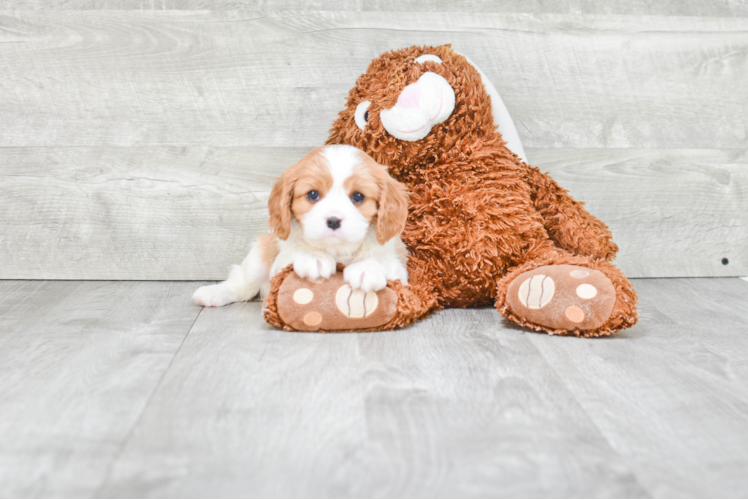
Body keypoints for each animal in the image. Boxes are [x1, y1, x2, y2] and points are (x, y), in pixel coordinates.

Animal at [193, 145, 410, 306]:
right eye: (312, 194)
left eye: (358, 196)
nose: (333, 220)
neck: (336, 250)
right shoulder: (280, 261)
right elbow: (297, 249)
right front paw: (313, 257)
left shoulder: (399, 268)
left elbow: (383, 260)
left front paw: (367, 268)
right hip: (259, 253)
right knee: (242, 283)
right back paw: (214, 292)